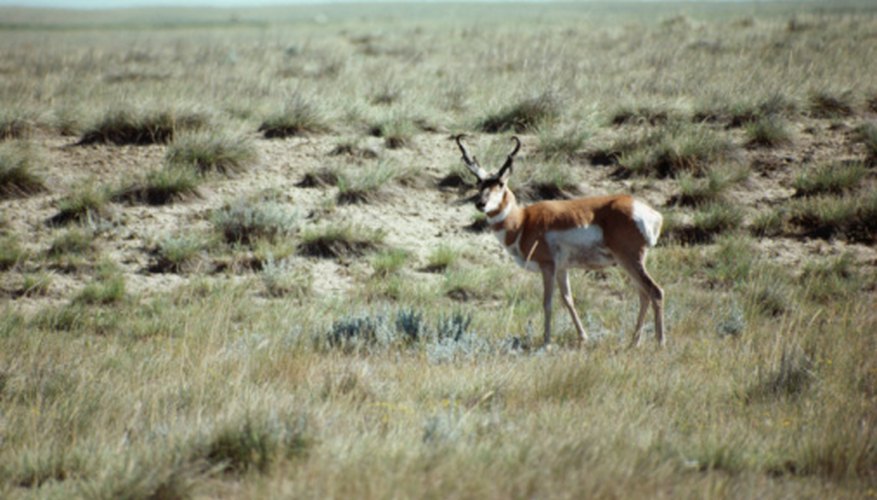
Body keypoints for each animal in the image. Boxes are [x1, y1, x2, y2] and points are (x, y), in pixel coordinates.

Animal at [458, 135, 664, 346]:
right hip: (628, 264)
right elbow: (568, 300)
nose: (480, 204)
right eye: (479, 183)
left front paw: (547, 342)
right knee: (644, 294)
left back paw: (660, 342)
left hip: (630, 261)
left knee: (655, 291)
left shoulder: (547, 266)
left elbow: (547, 302)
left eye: (500, 183)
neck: (523, 221)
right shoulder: (562, 269)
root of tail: (648, 212)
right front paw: (583, 337)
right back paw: (633, 343)